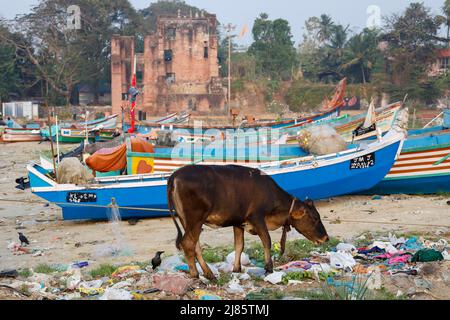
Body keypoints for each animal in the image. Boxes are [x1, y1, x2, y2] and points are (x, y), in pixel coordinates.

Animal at [167, 165, 328, 280]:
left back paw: (209, 274)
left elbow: (239, 245)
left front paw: (236, 268)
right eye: (315, 218)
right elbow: (267, 240)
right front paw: (269, 267)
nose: (326, 238)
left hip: (187, 220)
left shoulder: (238, 222)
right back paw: (195, 275)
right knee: (188, 243)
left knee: (195, 246)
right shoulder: (257, 217)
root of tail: (176, 174)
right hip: (195, 219)